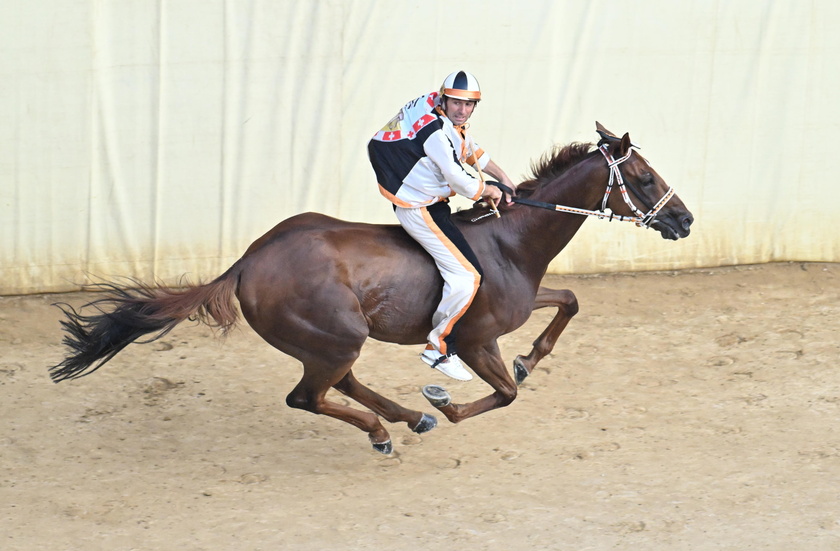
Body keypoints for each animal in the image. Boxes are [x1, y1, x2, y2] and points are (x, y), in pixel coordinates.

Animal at [54, 126, 696, 458]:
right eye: (644, 178)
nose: (684, 219)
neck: (511, 242)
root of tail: (248, 261)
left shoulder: (519, 306)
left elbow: (567, 303)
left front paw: (529, 358)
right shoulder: (474, 339)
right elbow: (506, 393)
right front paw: (448, 399)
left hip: (332, 340)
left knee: (338, 385)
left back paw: (406, 419)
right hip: (337, 336)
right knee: (307, 397)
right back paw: (392, 427)